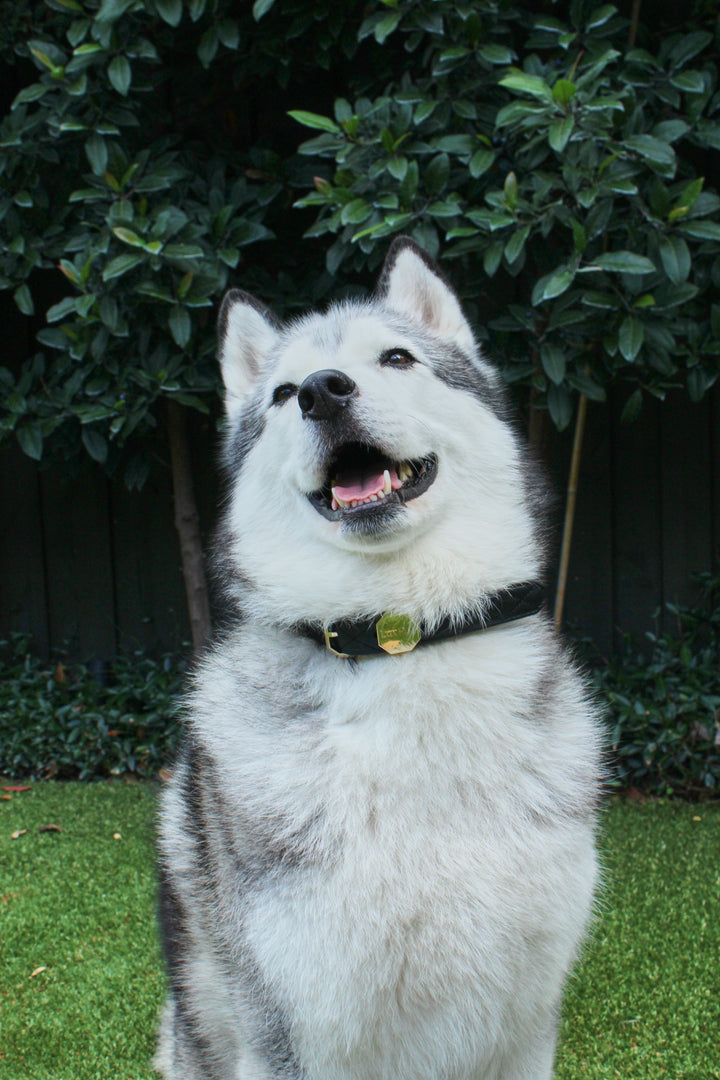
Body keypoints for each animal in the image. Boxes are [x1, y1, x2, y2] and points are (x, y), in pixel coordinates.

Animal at [156, 238, 604, 1080]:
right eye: (283, 393)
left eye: (396, 358)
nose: (323, 392)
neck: (401, 636)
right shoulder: (289, 1027)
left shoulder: (527, 1022)